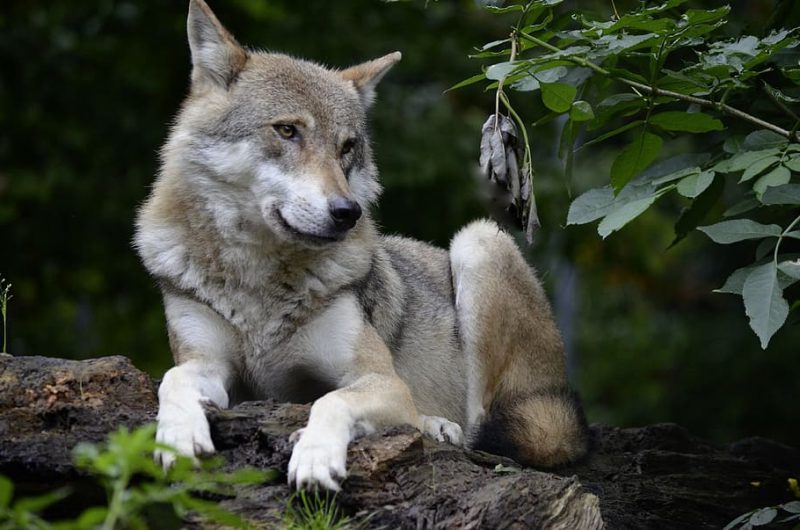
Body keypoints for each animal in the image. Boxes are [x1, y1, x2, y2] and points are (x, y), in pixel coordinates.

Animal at [134, 0, 588, 491]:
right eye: (288, 131)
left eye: (347, 146)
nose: (346, 212)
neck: (259, 280)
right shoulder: (212, 367)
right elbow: (172, 378)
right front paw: (177, 437)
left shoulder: (378, 379)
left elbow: (330, 400)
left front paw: (315, 457)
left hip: (479, 241)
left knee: (477, 426)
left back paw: (437, 425)